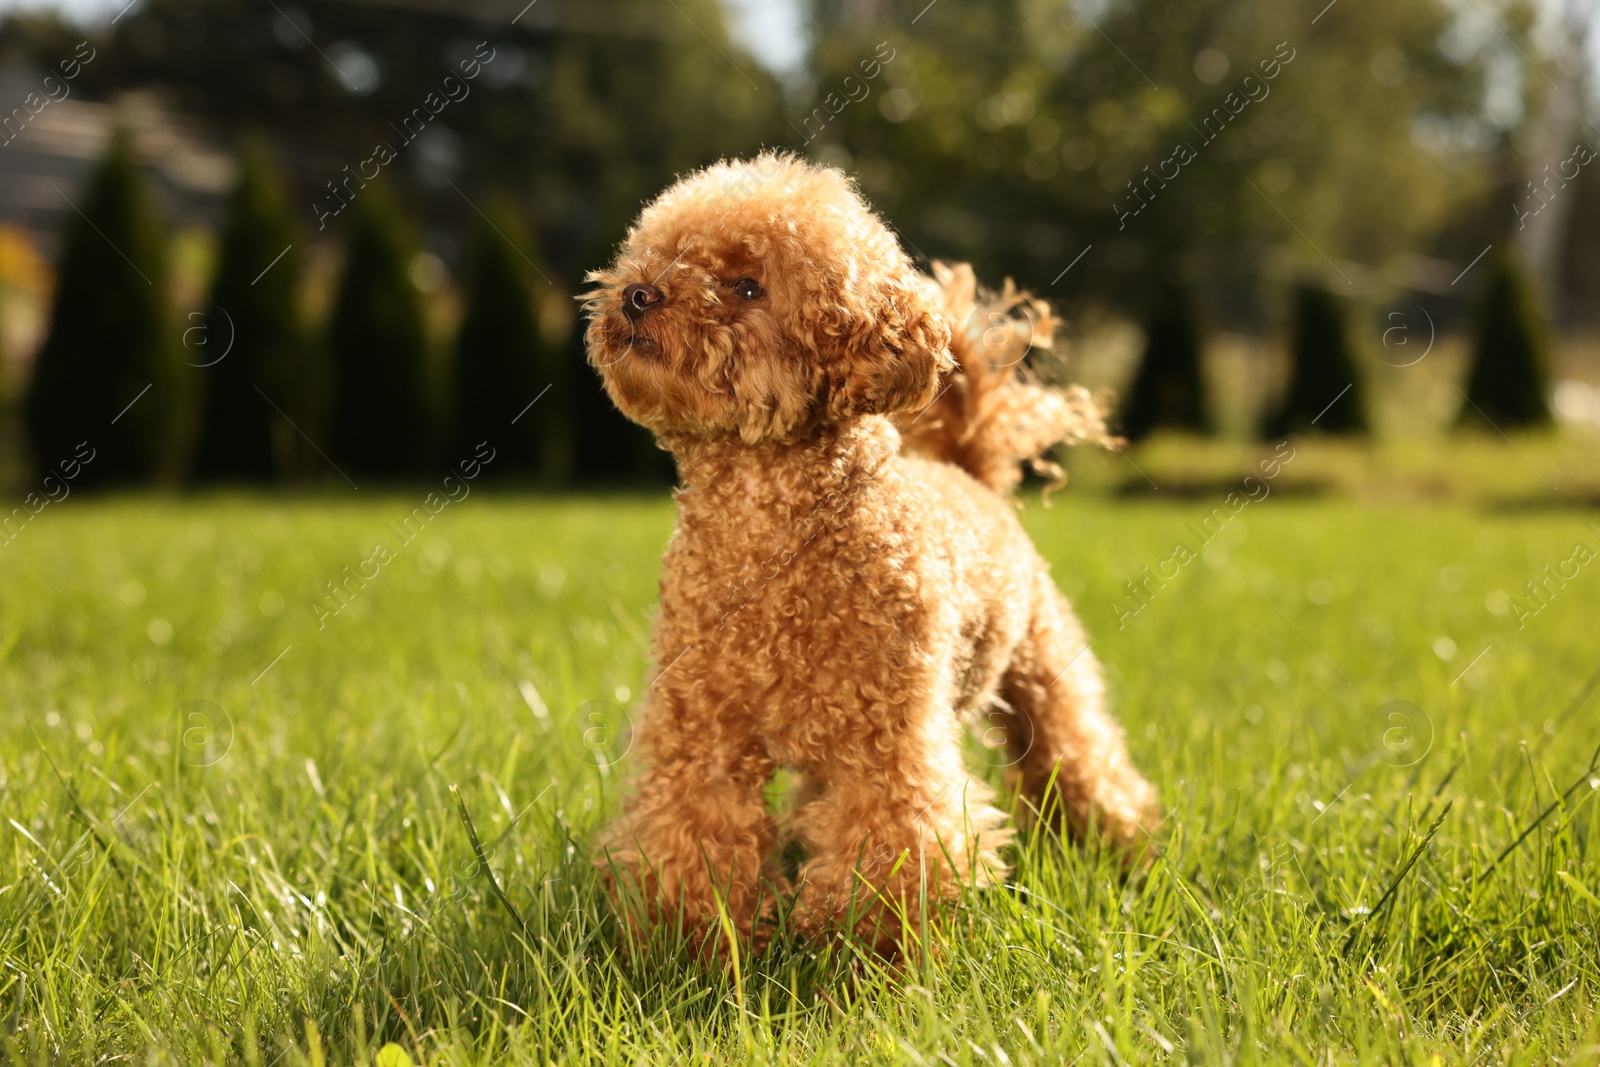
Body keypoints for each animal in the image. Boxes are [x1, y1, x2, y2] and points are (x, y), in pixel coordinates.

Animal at [582, 151, 1158, 959]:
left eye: (748, 286)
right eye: (656, 255)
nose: (637, 294)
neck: (767, 538)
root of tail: (970, 474)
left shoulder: (887, 742)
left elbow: (896, 843)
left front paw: (871, 954)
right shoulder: (699, 730)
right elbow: (693, 832)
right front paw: (695, 947)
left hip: (1045, 666)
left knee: (1083, 761)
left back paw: (1124, 848)